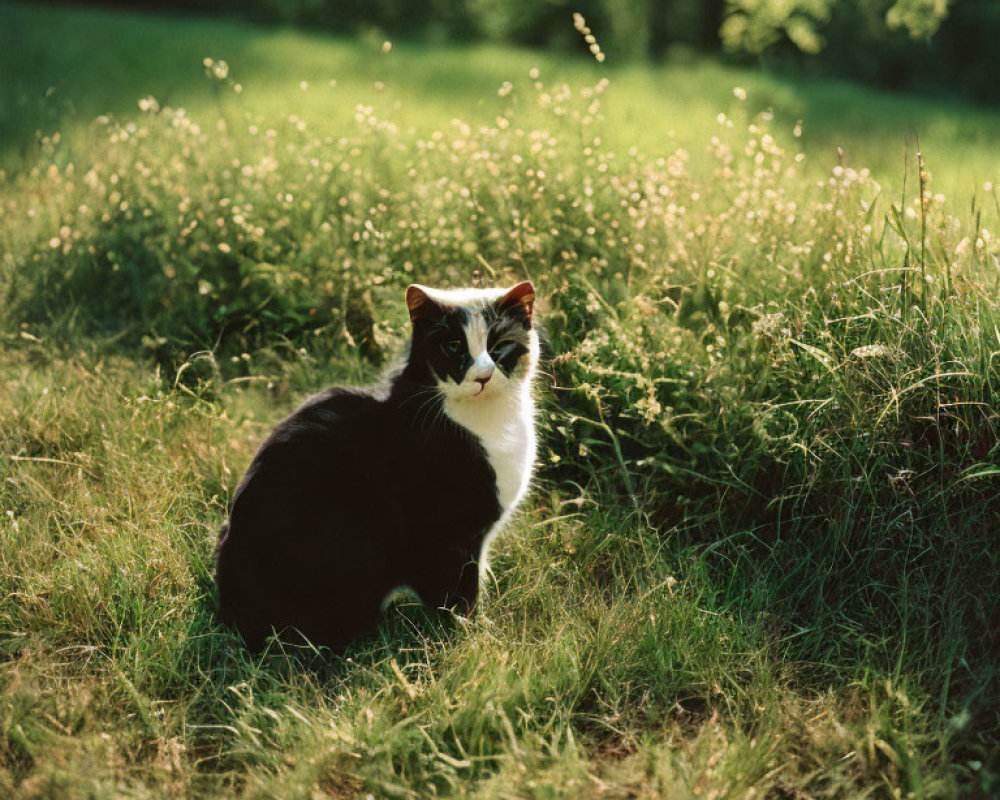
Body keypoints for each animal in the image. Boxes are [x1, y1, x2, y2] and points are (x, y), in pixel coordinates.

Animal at [213, 282, 540, 648]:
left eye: (500, 344)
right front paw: (470, 636)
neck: (489, 422)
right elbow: (459, 594)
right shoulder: (450, 533)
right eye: (454, 346)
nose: (483, 376)